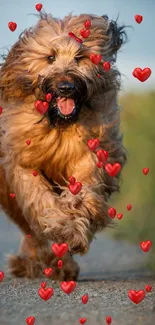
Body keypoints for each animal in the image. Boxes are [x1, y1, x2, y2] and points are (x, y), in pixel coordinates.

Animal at [0, 12, 126, 280]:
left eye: (80, 57)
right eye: (50, 57)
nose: (66, 87)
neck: (58, 125)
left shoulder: (89, 154)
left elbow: (84, 191)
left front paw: (75, 229)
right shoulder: (22, 163)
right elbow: (39, 199)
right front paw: (63, 226)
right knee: (31, 229)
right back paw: (35, 262)